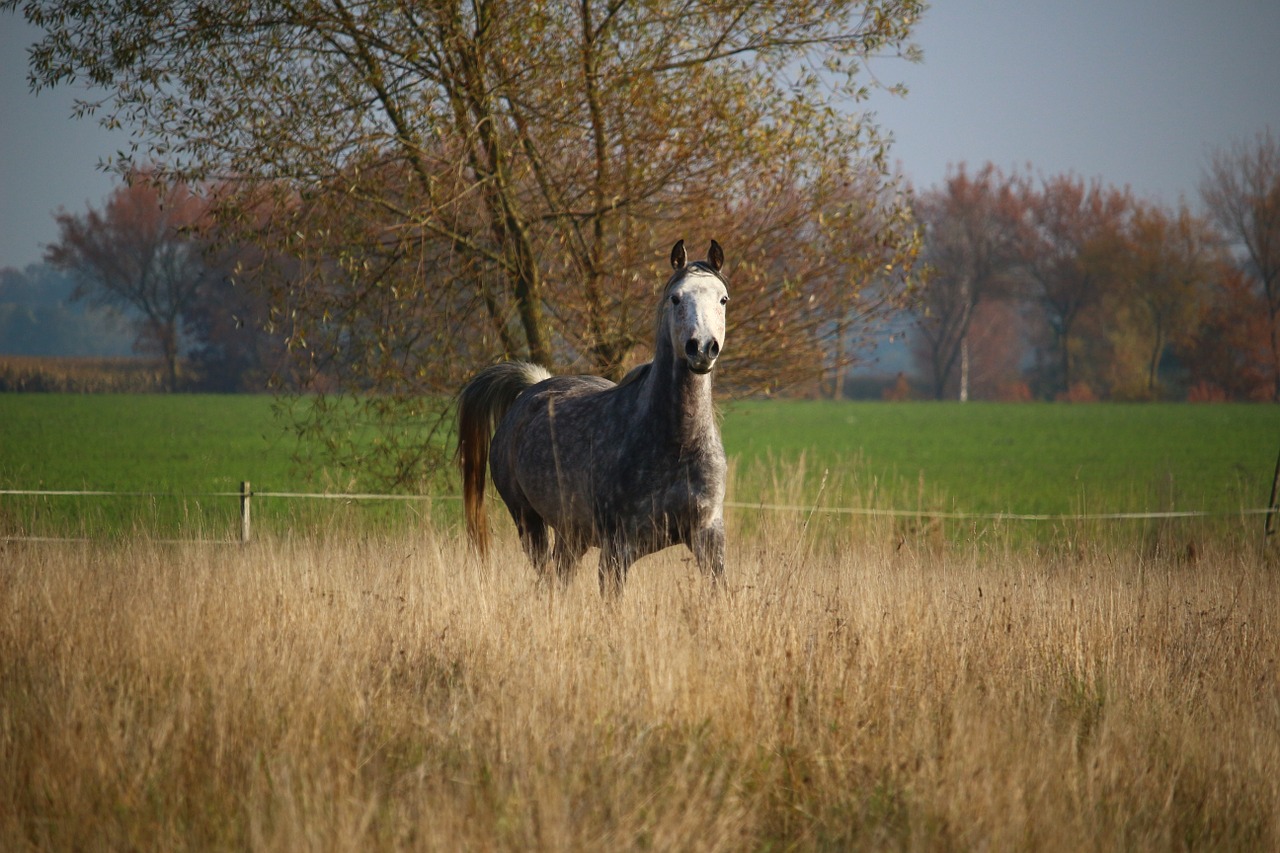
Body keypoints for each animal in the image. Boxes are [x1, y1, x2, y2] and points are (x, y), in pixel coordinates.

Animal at [458, 236, 732, 591]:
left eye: (723, 299)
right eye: (676, 298)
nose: (701, 348)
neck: (677, 444)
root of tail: (532, 388)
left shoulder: (709, 538)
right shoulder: (618, 549)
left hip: (572, 535)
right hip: (528, 522)